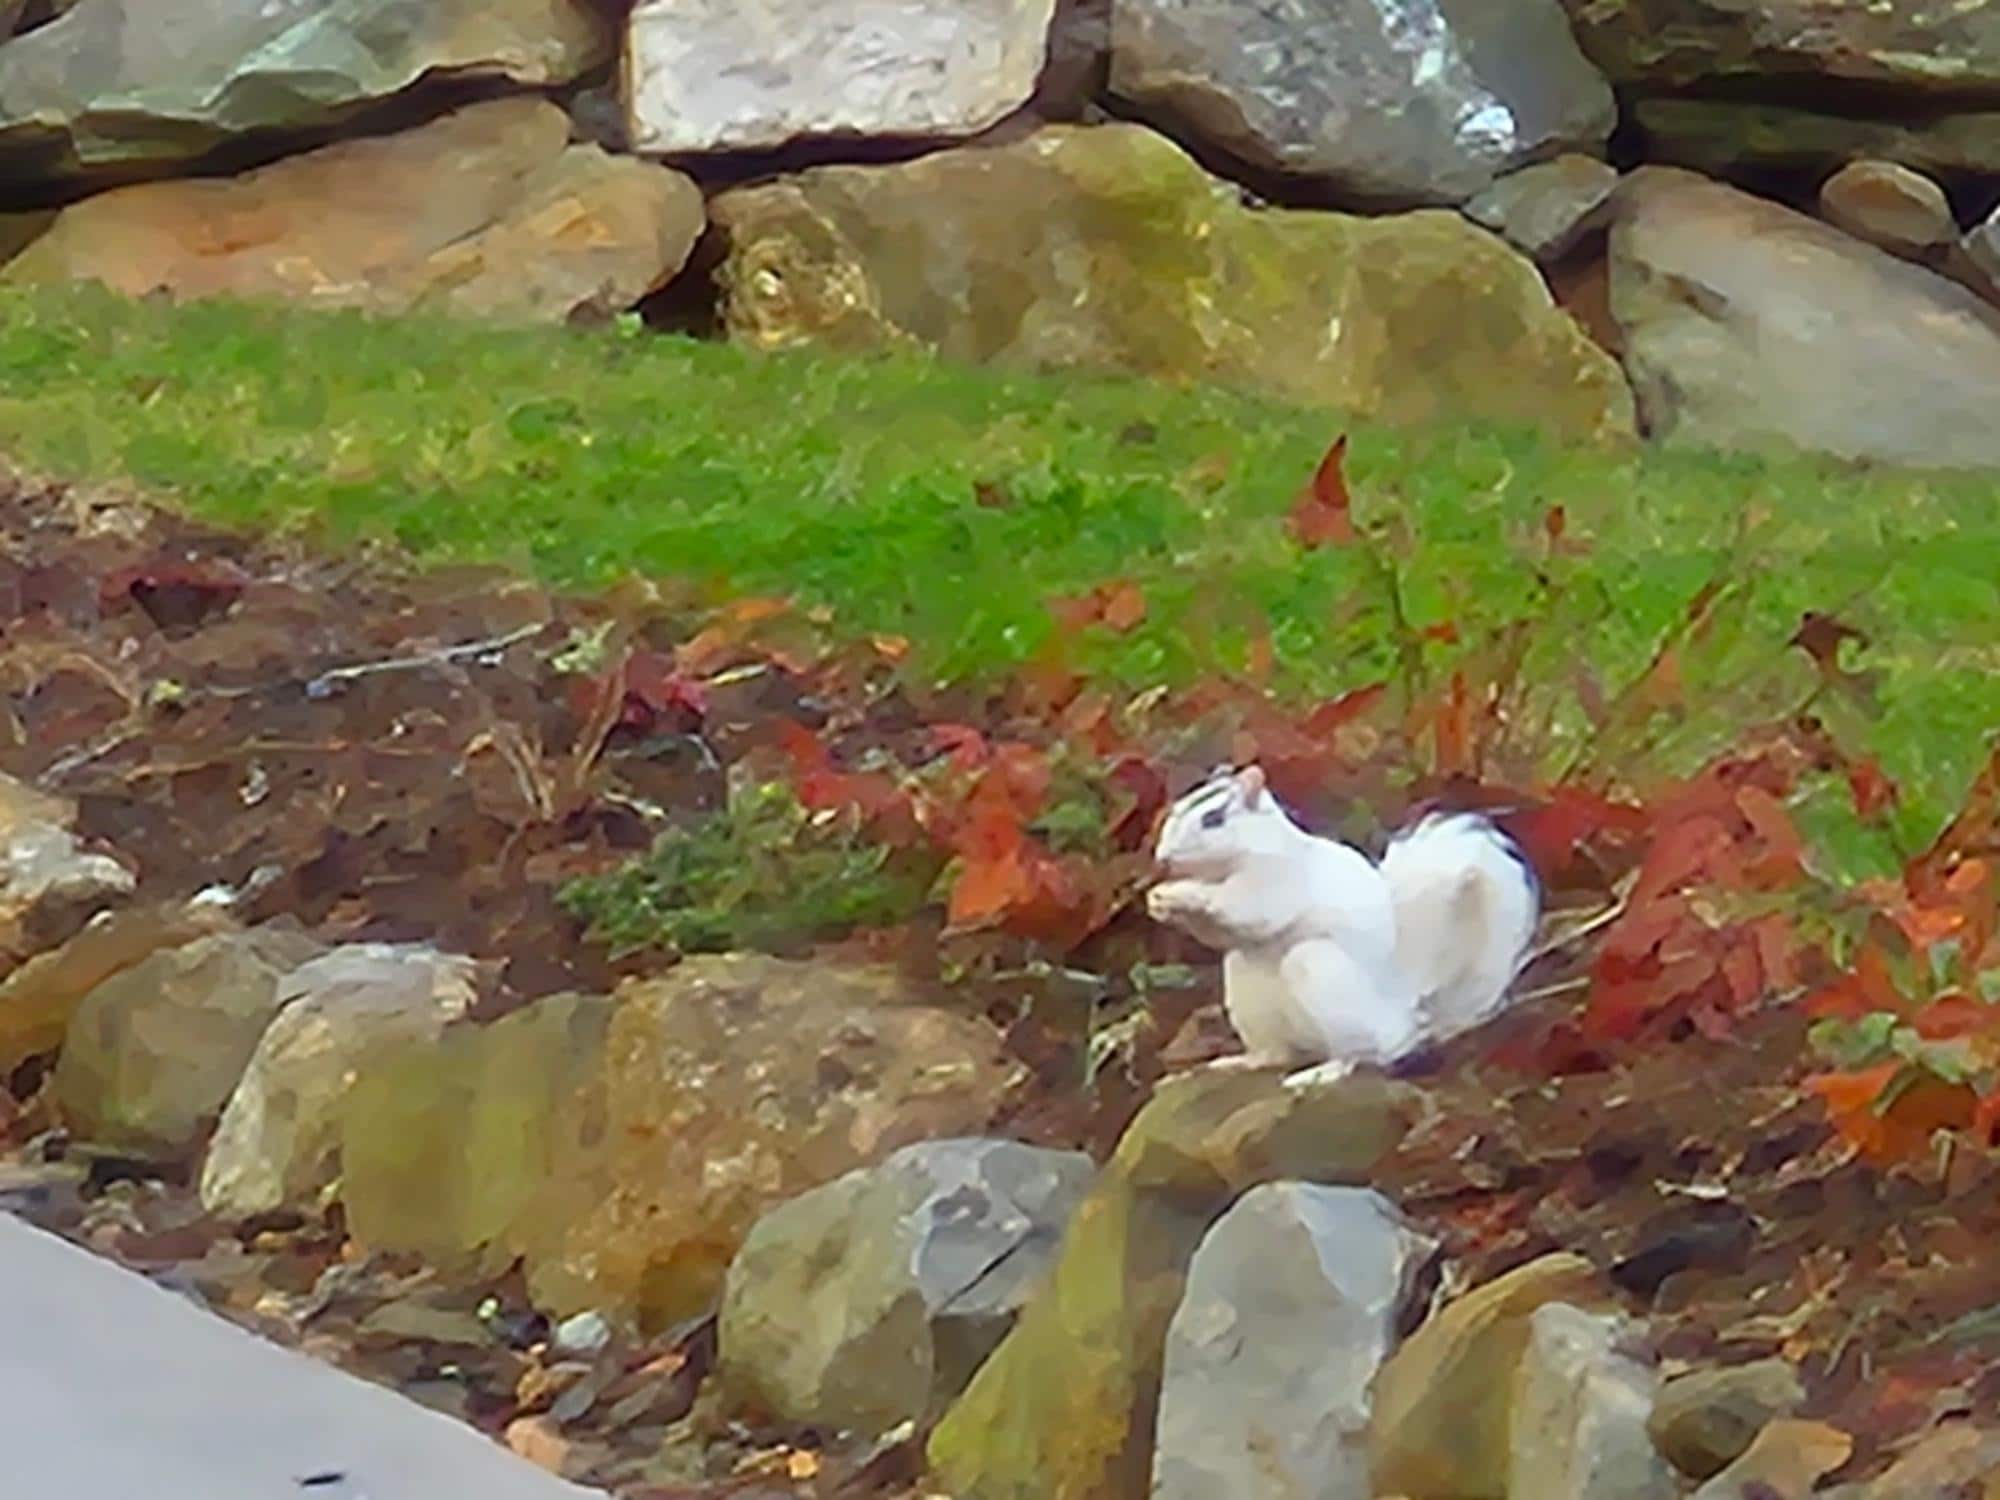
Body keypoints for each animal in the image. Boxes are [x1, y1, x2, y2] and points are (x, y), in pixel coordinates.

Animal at [1145, 764, 1540, 1087]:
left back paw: (1322, 1073)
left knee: (1360, 1055)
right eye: (1177, 808)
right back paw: (1240, 1062)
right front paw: (1158, 902)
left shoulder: (1274, 882)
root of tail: (1398, 1013)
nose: (1162, 859)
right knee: (1277, 1055)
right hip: (1248, 994)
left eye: (1213, 819)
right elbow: (1217, 934)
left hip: (1322, 978)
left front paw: (1178, 892)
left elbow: (1244, 907)